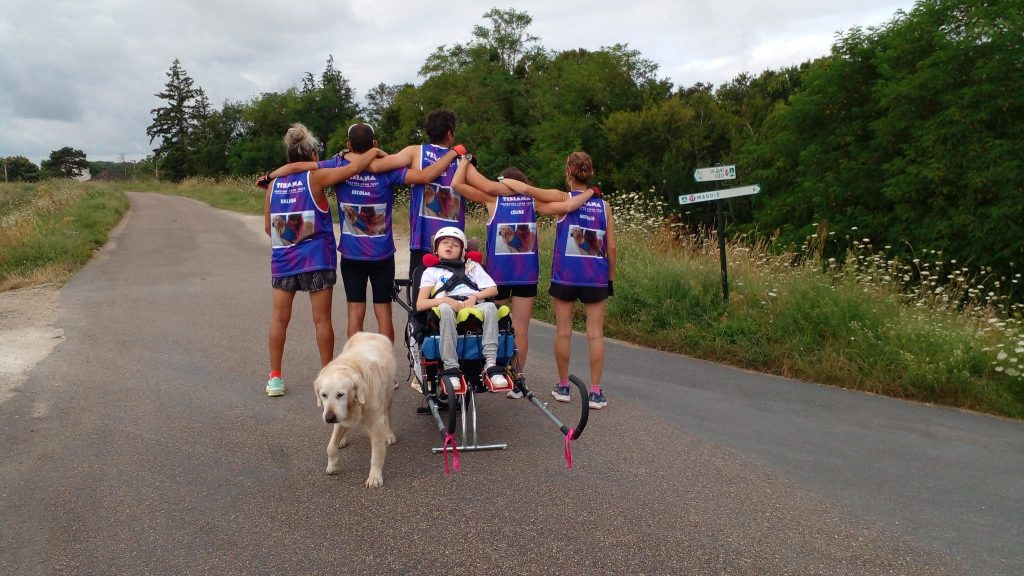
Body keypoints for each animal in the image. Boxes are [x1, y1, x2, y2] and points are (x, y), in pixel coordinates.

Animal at [311, 330, 395, 485]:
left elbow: (376, 454)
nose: (329, 418)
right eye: (324, 395)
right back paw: (342, 439)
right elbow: (330, 447)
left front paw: (374, 477)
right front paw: (332, 465)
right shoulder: (340, 415)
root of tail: (370, 333)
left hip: (388, 395)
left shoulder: (376, 422)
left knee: (387, 414)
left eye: (340, 394)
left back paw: (389, 434)